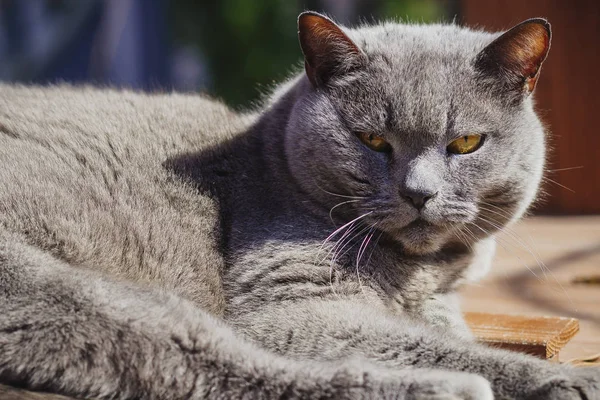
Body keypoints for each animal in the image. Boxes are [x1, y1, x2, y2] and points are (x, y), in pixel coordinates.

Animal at [0, 10, 596, 398]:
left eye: (466, 144)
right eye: (372, 140)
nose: (418, 192)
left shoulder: (439, 305)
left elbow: (442, 334)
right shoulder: (290, 298)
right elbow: (429, 344)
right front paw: (561, 379)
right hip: (50, 290)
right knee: (191, 354)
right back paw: (442, 389)